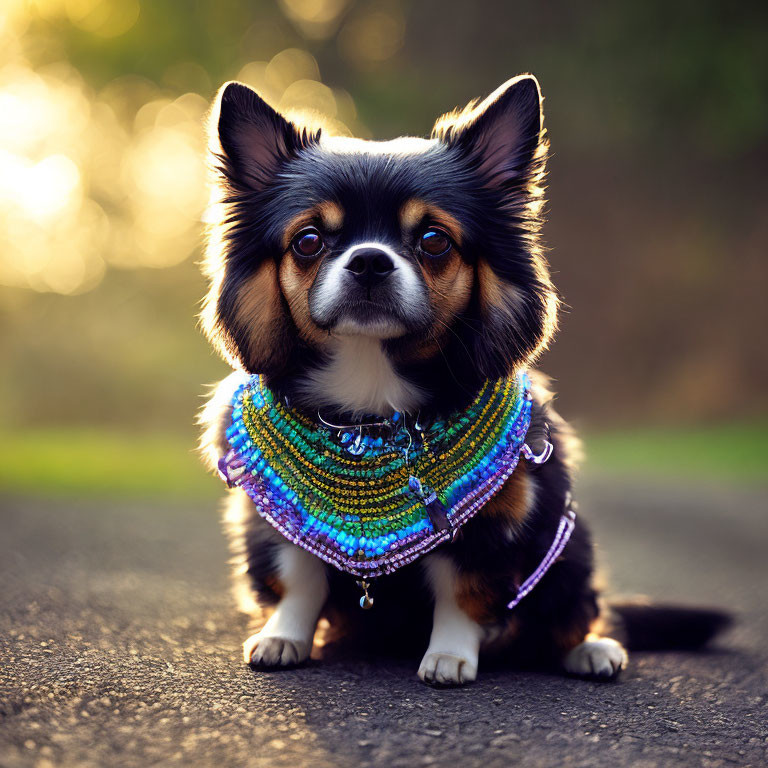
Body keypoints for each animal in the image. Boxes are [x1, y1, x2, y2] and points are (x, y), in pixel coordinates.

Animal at [196, 73, 728, 684]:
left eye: (434, 241)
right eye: (308, 241)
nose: (370, 261)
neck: (372, 383)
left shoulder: (496, 522)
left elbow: (462, 593)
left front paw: (449, 655)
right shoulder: (274, 524)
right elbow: (299, 579)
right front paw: (284, 636)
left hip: (571, 549)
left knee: (578, 612)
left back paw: (592, 650)